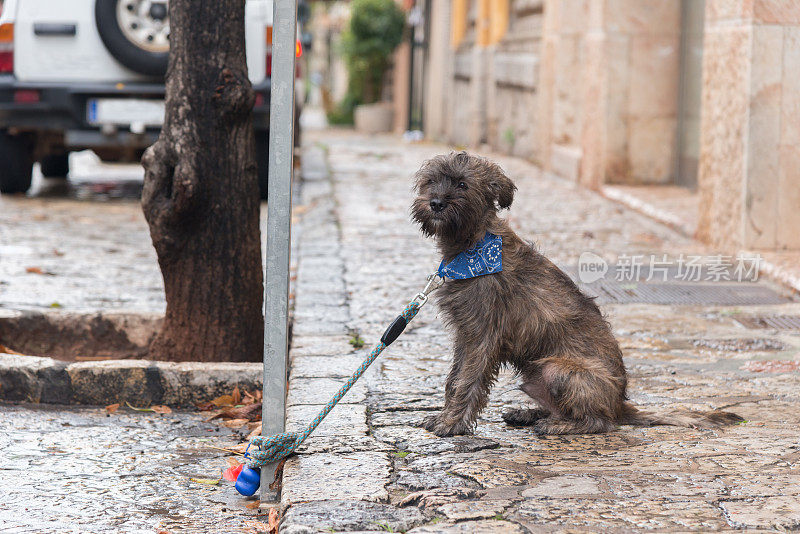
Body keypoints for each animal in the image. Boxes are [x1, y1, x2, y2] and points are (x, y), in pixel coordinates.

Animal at [412, 153, 744, 438]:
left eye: (463, 184)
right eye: (431, 181)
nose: (436, 203)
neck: (474, 246)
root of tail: (620, 405)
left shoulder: (483, 336)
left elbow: (467, 380)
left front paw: (452, 423)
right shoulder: (465, 334)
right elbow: (454, 378)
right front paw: (445, 416)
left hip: (556, 369)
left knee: (600, 422)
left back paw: (559, 425)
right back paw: (530, 414)